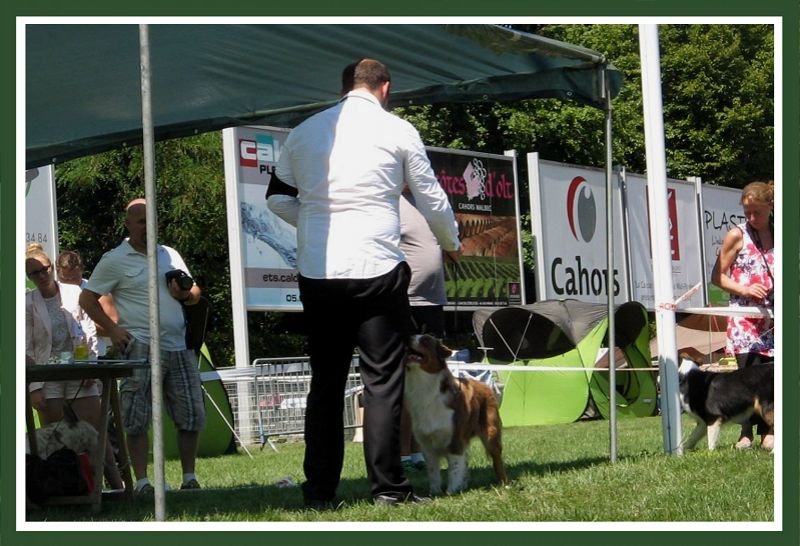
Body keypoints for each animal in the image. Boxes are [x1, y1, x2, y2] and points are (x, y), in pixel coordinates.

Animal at [404, 334, 508, 495]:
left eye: (425, 340)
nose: (407, 337)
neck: (422, 383)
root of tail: (484, 385)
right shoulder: (427, 444)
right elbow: (433, 472)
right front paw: (434, 493)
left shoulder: (455, 440)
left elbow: (454, 469)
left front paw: (451, 492)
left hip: (491, 433)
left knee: (497, 459)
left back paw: (504, 483)